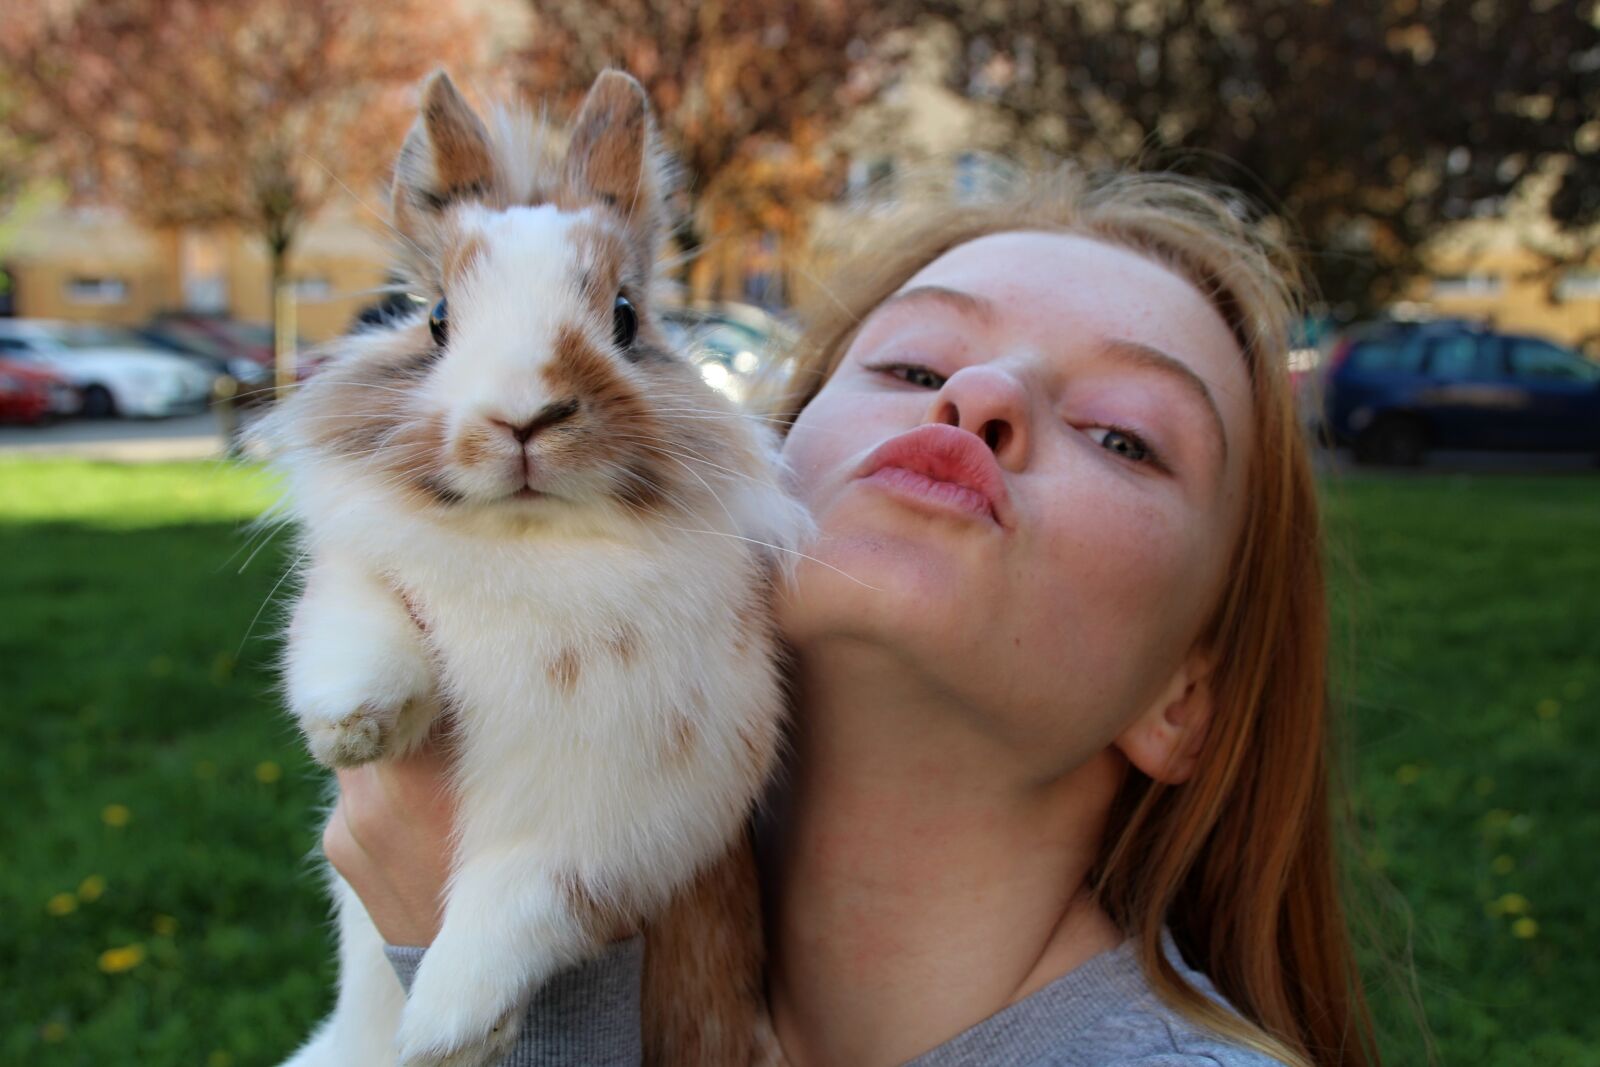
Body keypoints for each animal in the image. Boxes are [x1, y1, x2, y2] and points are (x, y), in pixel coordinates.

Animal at [260, 68, 810, 1067]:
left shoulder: (645, 804)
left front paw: (446, 1023)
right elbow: (353, 630)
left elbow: (530, 893)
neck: (527, 544)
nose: (522, 416)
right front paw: (354, 726)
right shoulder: (354, 584)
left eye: (626, 317)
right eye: (437, 319)